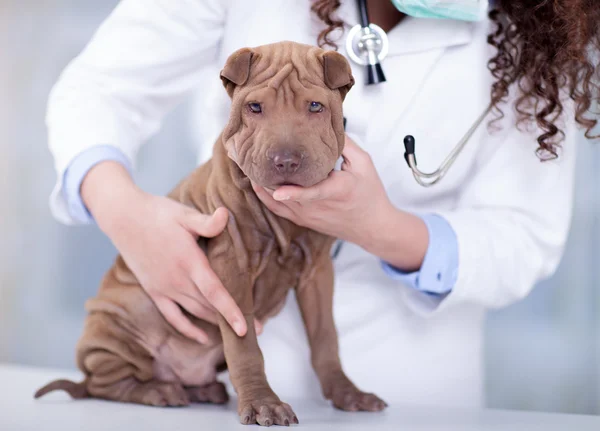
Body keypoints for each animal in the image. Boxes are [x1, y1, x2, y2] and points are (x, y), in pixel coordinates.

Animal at [35, 42, 386, 426]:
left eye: (315, 106)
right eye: (254, 107)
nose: (285, 160)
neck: (281, 220)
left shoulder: (317, 272)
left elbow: (326, 337)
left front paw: (347, 393)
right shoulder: (231, 269)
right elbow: (245, 345)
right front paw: (263, 403)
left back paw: (202, 389)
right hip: (120, 323)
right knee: (105, 382)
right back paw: (157, 391)